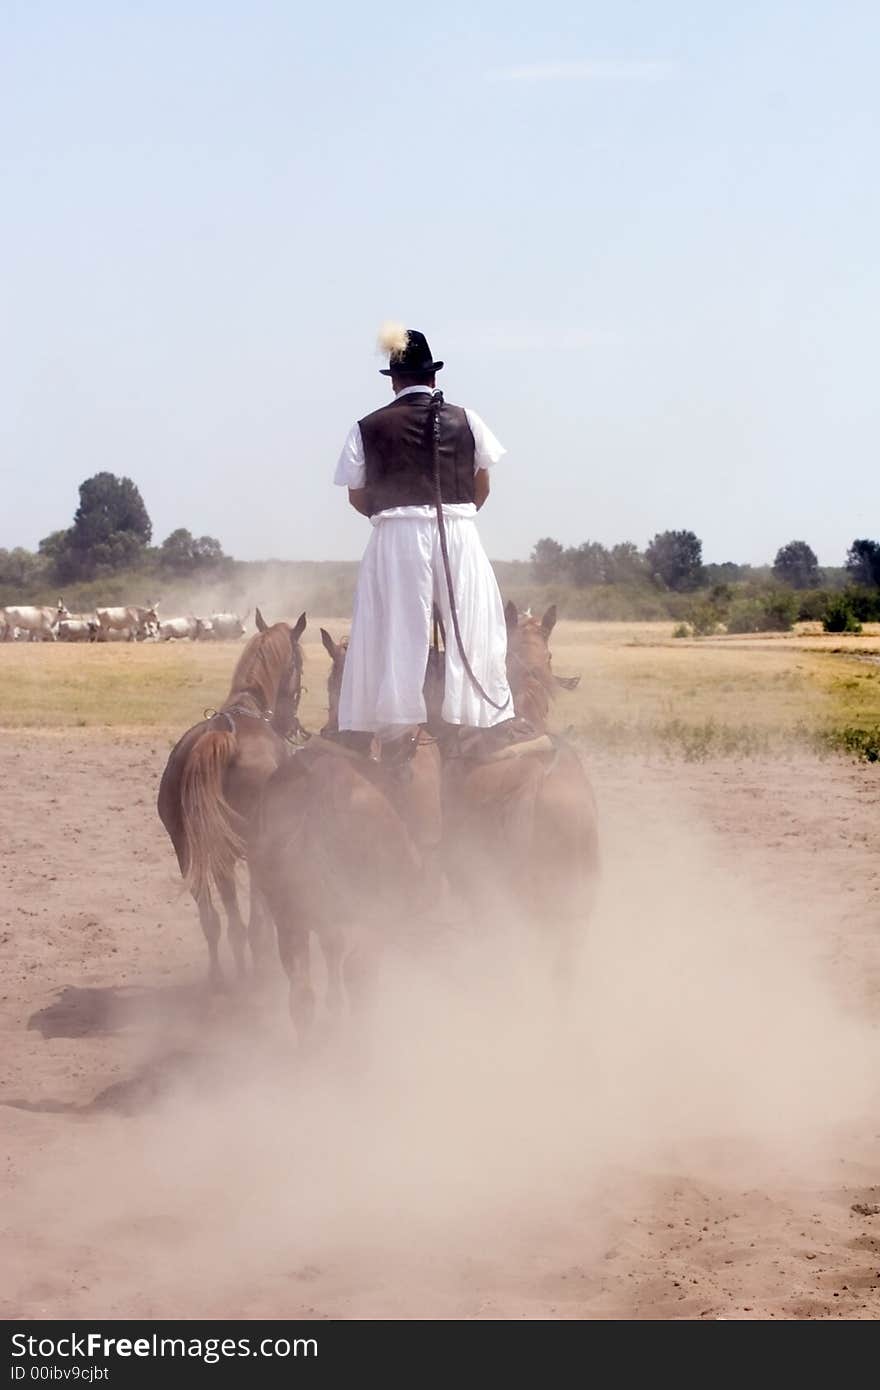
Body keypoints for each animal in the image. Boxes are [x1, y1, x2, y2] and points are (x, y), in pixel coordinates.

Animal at [157, 608, 305, 989]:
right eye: (298, 663)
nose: (290, 723)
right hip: (252, 848)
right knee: (252, 926)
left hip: (190, 849)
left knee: (215, 920)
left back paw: (222, 981)